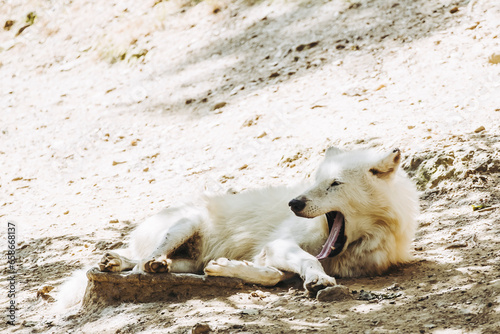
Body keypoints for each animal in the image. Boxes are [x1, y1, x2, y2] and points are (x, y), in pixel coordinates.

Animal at [57, 146, 418, 308]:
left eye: (334, 184)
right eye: (314, 181)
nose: (294, 203)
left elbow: (273, 274)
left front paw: (226, 268)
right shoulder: (278, 245)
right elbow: (293, 266)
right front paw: (317, 279)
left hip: (187, 259)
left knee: (145, 263)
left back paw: (119, 262)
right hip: (185, 225)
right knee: (144, 263)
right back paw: (141, 263)